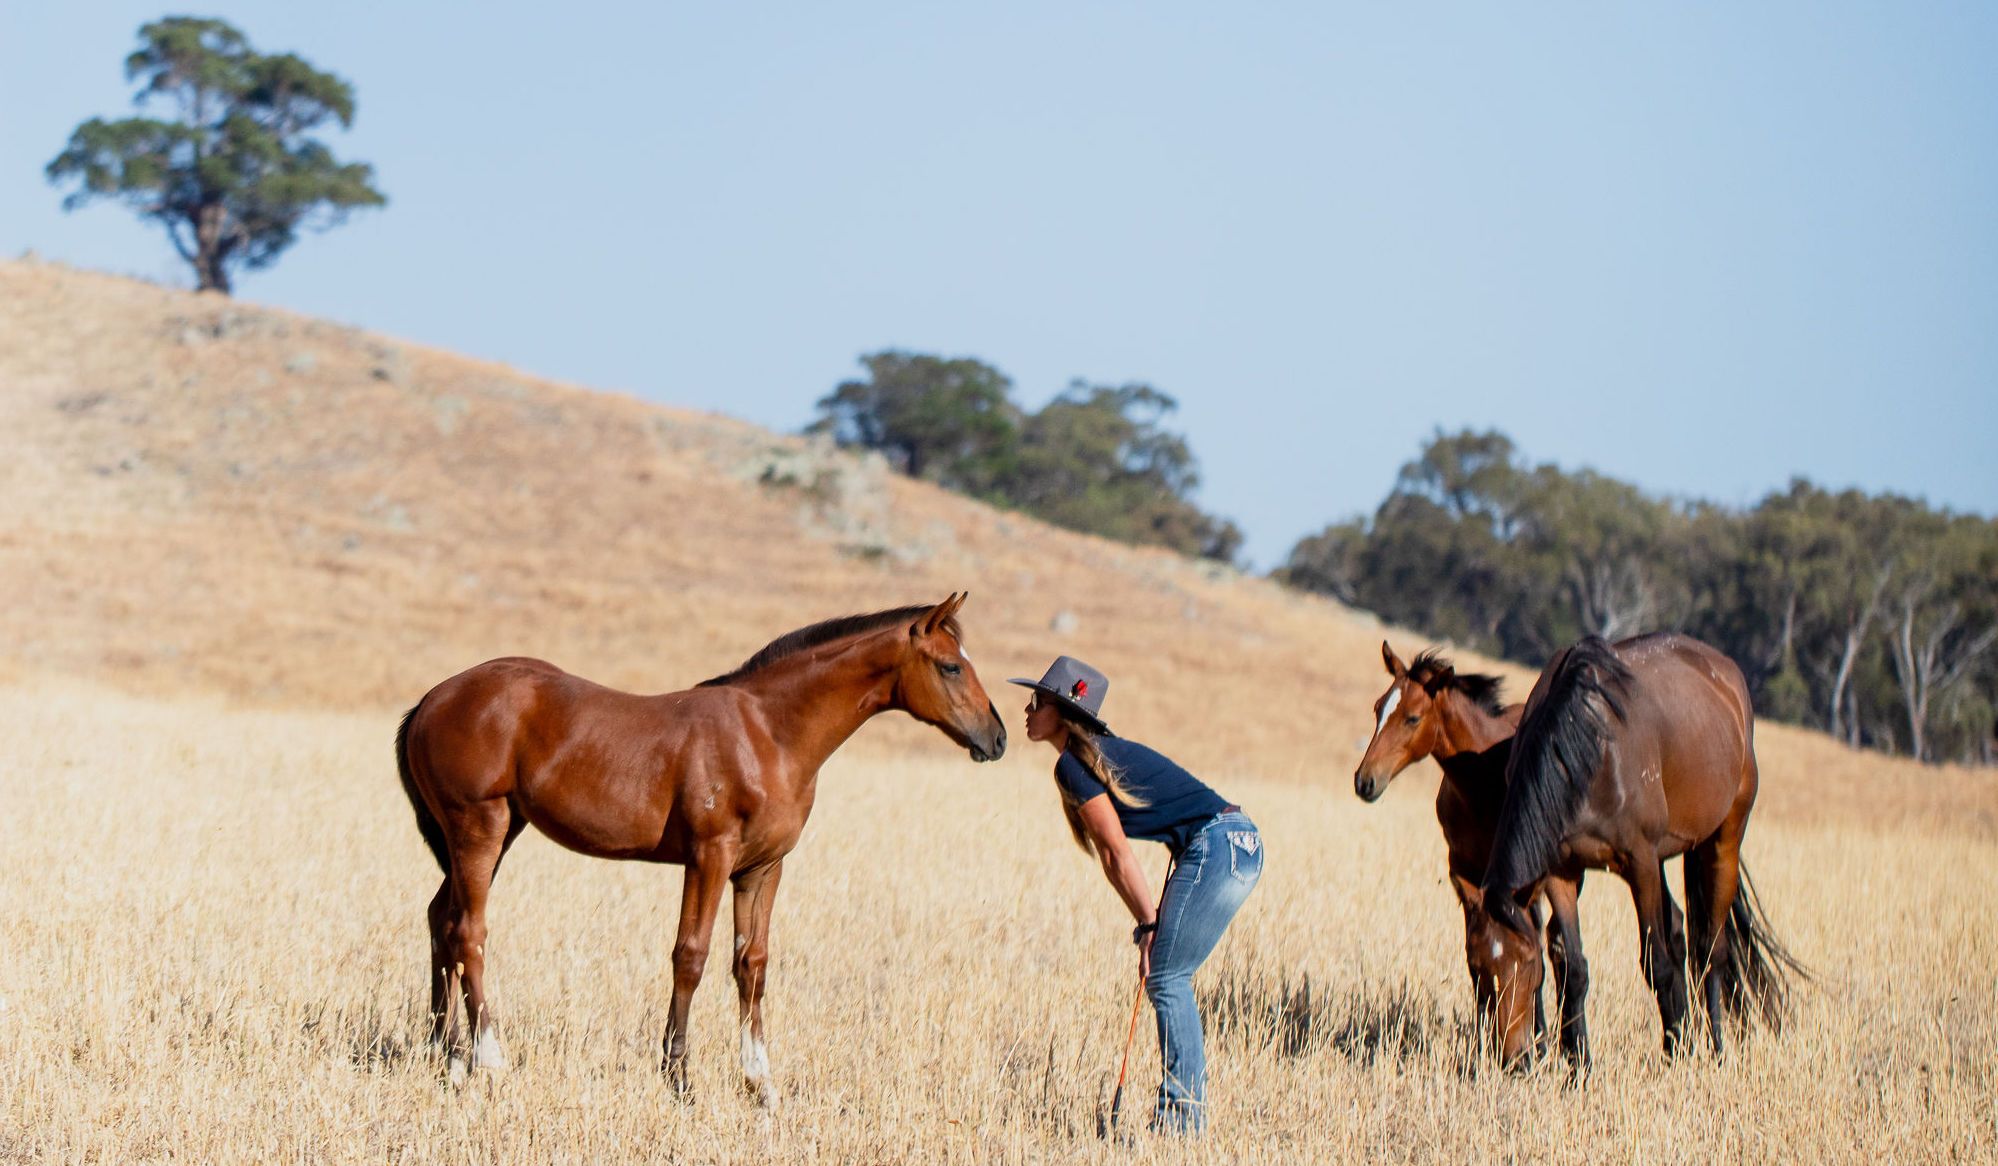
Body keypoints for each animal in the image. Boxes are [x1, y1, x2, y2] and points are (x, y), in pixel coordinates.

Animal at [394, 594, 1007, 1102]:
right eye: (951, 665)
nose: (997, 738)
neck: (768, 734)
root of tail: (430, 699)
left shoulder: (762, 868)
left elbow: (752, 964)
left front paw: (760, 1082)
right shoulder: (709, 857)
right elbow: (690, 956)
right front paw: (679, 1077)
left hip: (494, 833)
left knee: (442, 920)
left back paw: (448, 1059)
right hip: (481, 827)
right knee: (469, 932)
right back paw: (488, 1059)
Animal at [1353, 643, 1589, 1067]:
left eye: (1413, 717)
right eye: (1378, 707)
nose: (1365, 781)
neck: (1482, 778)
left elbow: (1538, 951)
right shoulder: (1465, 872)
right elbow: (1476, 957)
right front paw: (1488, 1046)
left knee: (1554, 945)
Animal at [1470, 632, 1804, 1067]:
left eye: (1526, 964)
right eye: (1477, 966)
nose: (1510, 1057)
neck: (1585, 749)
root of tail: (1726, 672)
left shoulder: (1639, 862)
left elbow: (1655, 962)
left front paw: (1674, 1051)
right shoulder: (1561, 872)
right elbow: (1573, 966)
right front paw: (1581, 1065)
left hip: (1723, 841)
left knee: (1711, 950)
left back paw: (1713, 1047)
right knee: (1679, 928)